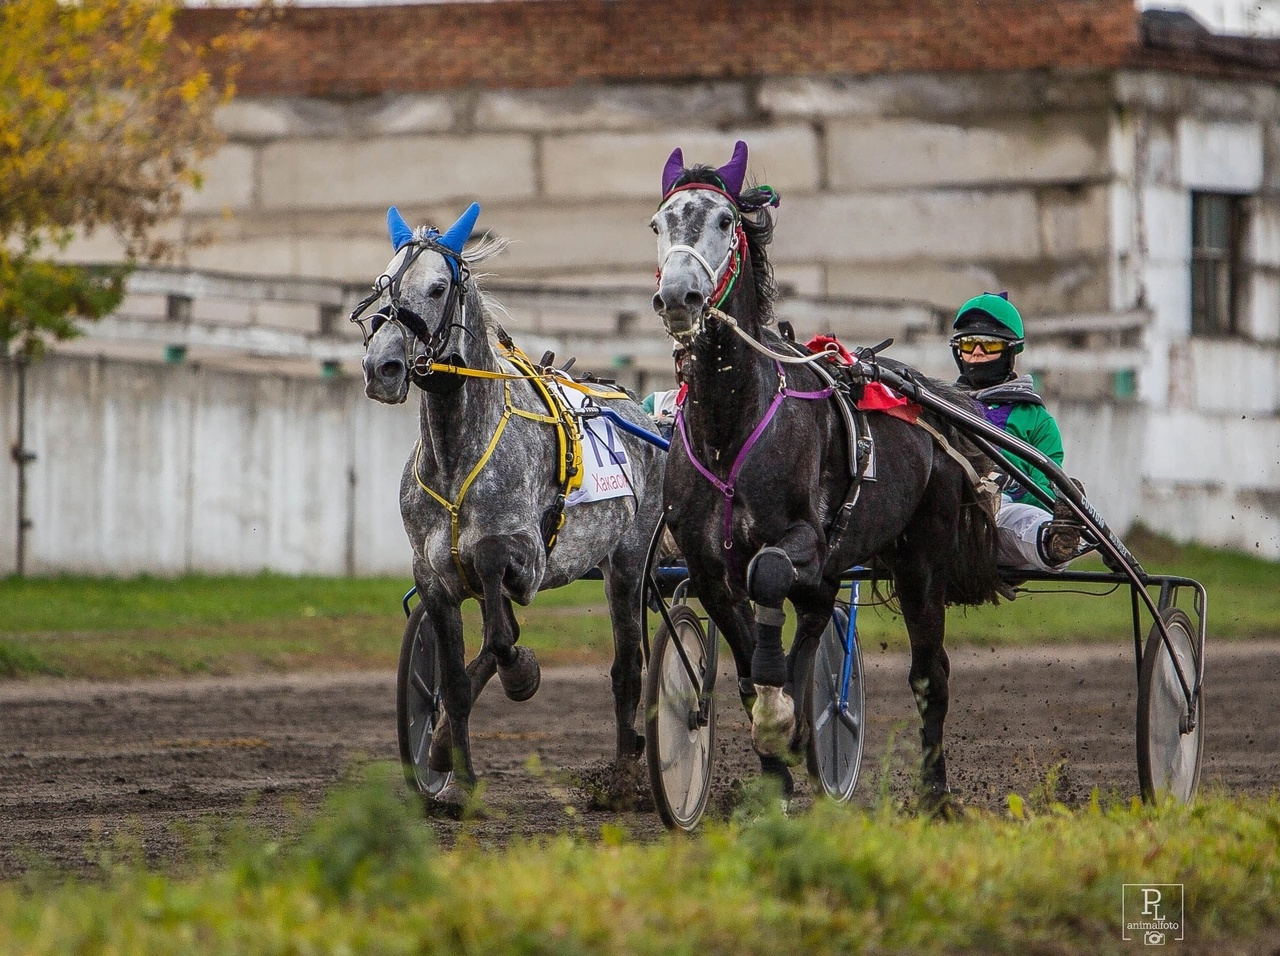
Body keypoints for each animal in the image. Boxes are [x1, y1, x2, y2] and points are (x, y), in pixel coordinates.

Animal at [358, 206, 665, 803]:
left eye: (438, 286)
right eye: (384, 285)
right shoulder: (434, 577)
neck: (456, 456)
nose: (381, 367)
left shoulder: (524, 557)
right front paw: (455, 772)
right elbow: (456, 678)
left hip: (628, 561)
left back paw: (622, 779)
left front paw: (522, 673)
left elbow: (501, 623)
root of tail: (639, 411)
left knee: (627, 668)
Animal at [650, 143, 998, 813]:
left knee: (930, 673)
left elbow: (767, 574)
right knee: (812, 624)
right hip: (840, 564)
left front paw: (780, 722)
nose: (679, 295)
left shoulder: (802, 537)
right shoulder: (706, 564)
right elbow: (746, 664)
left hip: (923, 553)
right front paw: (775, 769)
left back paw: (935, 794)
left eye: (725, 221)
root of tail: (934, 404)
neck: (732, 429)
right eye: (659, 225)